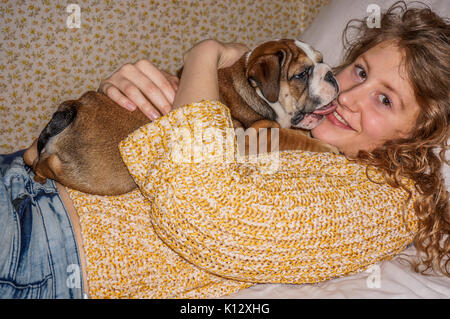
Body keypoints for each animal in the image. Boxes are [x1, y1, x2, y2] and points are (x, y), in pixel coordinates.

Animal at [24, 39, 340, 196]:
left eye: (322, 60)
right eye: (301, 74)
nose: (332, 75)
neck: (256, 88)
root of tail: (72, 110)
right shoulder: (255, 136)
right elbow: (291, 137)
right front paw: (328, 148)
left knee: (30, 153)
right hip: (111, 175)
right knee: (46, 163)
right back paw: (40, 174)